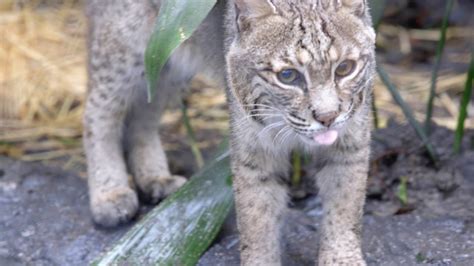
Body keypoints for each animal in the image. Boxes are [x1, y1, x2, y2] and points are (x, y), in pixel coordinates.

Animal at [84, 1, 374, 264]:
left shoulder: (350, 141)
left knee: (143, 116)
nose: (327, 118)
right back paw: (109, 194)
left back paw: (155, 177)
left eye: (345, 68)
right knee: (98, 112)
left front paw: (342, 258)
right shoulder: (254, 151)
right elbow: (257, 219)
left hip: (164, 57)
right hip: (127, 42)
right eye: (288, 76)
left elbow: (345, 206)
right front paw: (260, 260)